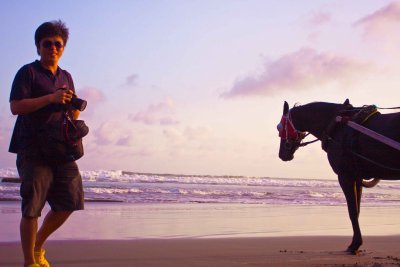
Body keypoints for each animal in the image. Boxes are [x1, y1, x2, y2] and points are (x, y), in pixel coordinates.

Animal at [276, 100, 400, 255]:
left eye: (279, 127)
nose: (282, 154)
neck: (337, 125)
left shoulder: (345, 176)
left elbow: (352, 212)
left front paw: (354, 245)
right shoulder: (356, 177)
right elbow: (357, 210)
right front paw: (355, 242)